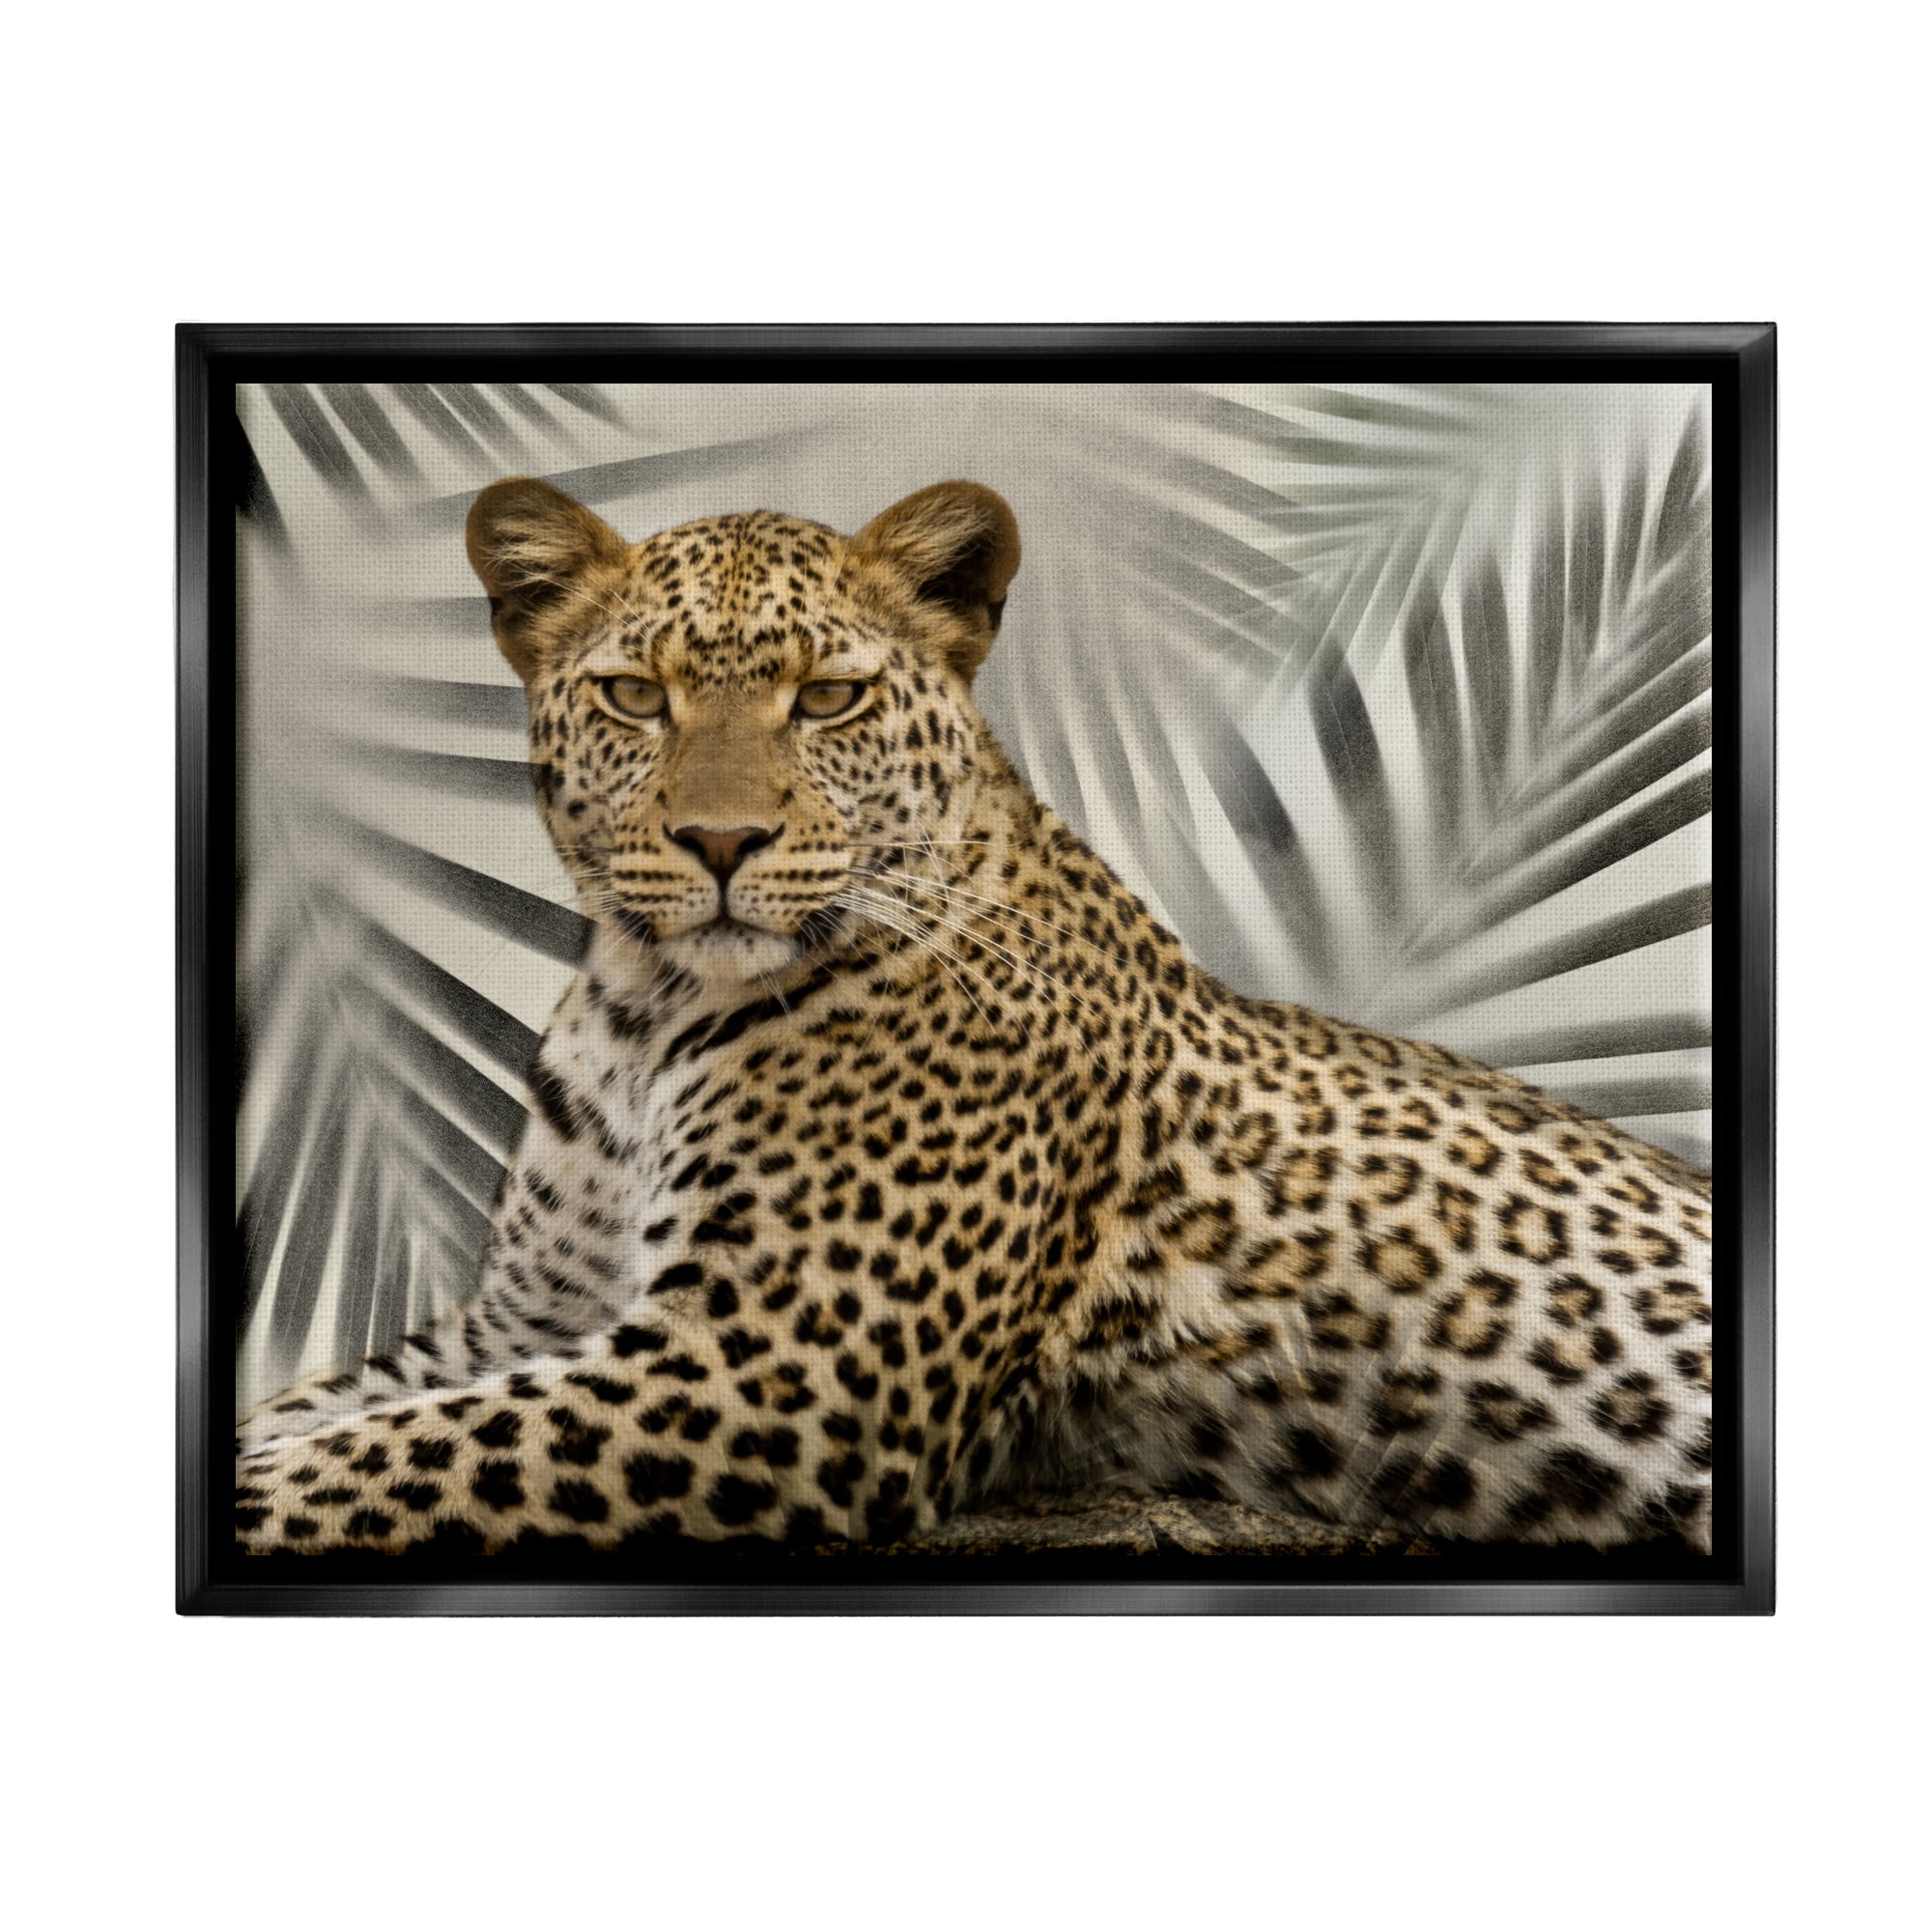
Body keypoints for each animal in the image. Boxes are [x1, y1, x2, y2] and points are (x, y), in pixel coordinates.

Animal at [233, 476, 1714, 1558]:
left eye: (827, 697)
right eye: (635, 696)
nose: (720, 842)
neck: (646, 1011)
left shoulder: (773, 1366)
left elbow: (362, 1462)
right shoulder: (522, 1324)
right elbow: (316, 1415)